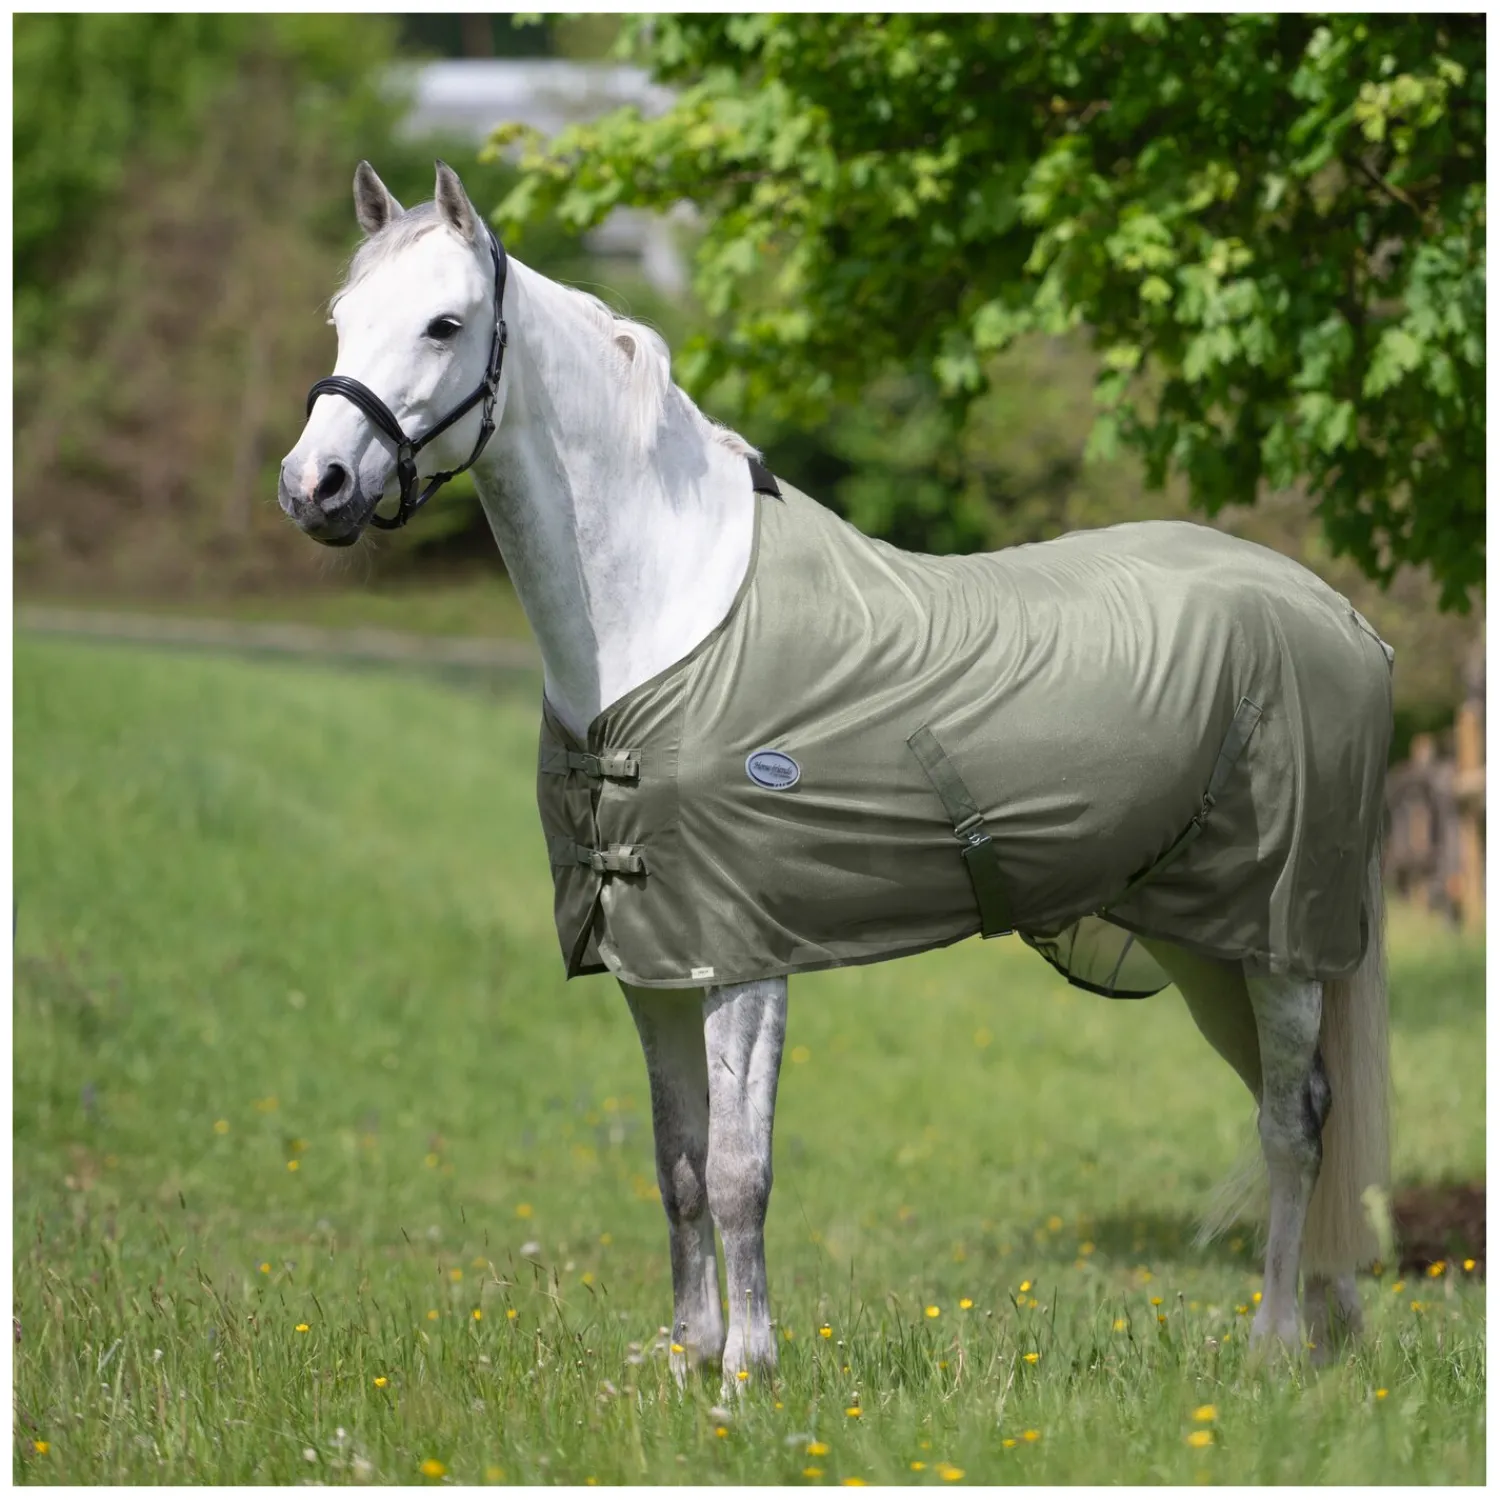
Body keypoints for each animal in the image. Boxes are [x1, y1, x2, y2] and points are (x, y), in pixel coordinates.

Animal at [279, 161, 1393, 1386]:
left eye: (445, 323)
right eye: (342, 317)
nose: (314, 487)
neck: (664, 614)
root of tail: (1340, 616)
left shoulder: (743, 957)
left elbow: (738, 1171)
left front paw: (747, 1371)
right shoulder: (653, 963)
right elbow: (676, 1168)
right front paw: (685, 1358)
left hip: (1278, 935)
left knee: (1293, 1124)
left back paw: (1278, 1344)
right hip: (1208, 942)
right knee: (1300, 1104)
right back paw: (1331, 1326)